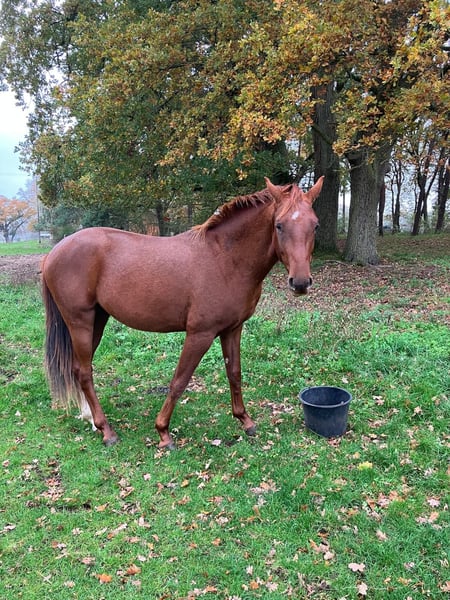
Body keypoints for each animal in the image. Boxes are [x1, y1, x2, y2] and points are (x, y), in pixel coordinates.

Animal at [42, 177, 323, 449]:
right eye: (279, 225)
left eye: (315, 225)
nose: (300, 282)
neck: (225, 259)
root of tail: (53, 253)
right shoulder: (200, 334)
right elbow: (179, 380)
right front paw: (163, 432)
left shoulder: (232, 329)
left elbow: (234, 373)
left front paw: (245, 420)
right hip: (80, 321)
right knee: (84, 372)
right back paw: (106, 430)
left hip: (97, 320)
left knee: (79, 367)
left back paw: (90, 419)